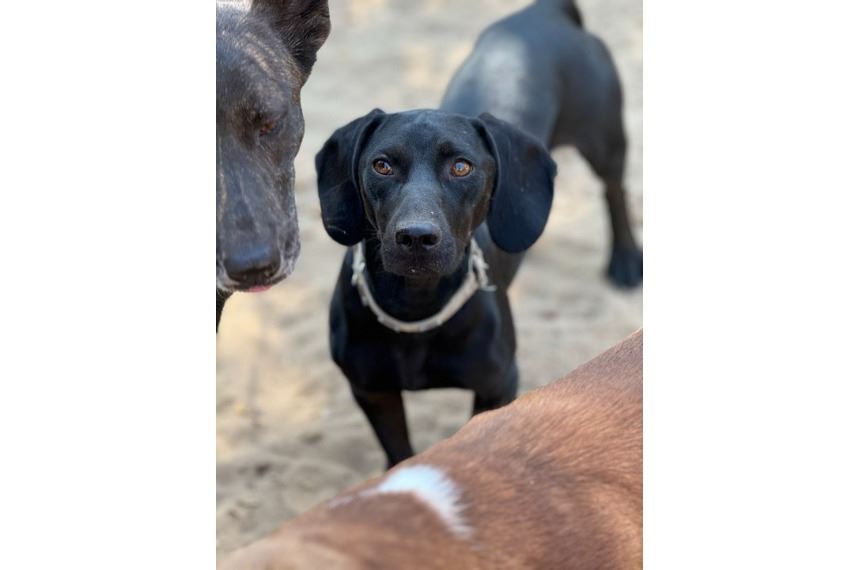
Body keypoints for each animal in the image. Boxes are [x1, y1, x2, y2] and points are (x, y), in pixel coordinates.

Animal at [315, 0, 639, 467]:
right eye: (382, 165)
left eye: (461, 166)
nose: (416, 237)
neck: (417, 306)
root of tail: (544, 12)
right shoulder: (372, 392)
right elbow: (400, 453)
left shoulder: (498, 384)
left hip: (605, 140)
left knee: (615, 191)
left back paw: (627, 260)